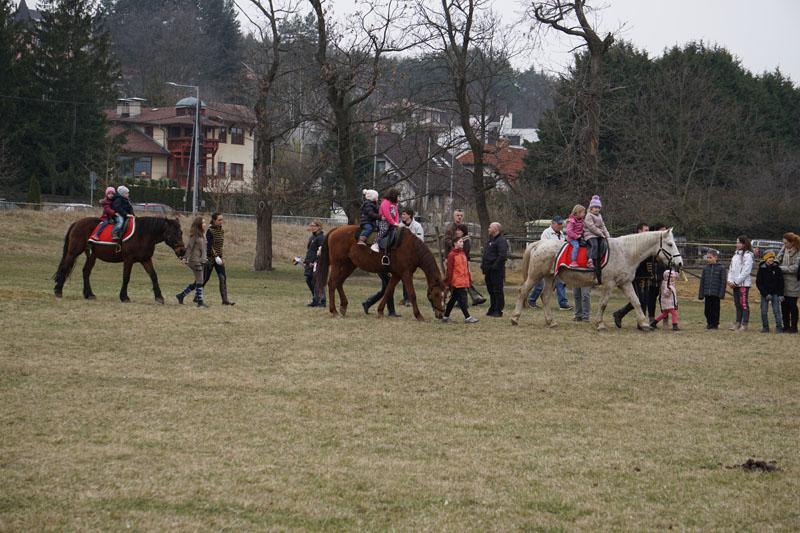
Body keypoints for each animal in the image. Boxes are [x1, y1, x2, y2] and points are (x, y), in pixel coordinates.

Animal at [53, 216, 186, 303]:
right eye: (173, 233)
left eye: (181, 232)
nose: (182, 251)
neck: (142, 234)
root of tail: (77, 223)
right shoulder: (128, 259)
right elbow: (126, 277)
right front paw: (124, 297)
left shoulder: (146, 259)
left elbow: (153, 276)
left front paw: (159, 297)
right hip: (73, 252)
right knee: (65, 267)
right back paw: (58, 290)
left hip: (92, 256)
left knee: (86, 272)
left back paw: (89, 294)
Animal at [315, 225, 446, 320]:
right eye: (436, 294)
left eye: (445, 295)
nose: (441, 313)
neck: (412, 247)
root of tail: (336, 229)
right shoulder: (406, 274)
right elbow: (412, 294)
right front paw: (418, 315)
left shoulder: (397, 274)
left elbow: (388, 291)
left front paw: (380, 311)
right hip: (337, 264)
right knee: (332, 283)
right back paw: (334, 311)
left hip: (349, 265)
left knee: (339, 282)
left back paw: (343, 306)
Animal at [510, 229, 683, 330]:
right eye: (670, 244)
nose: (680, 263)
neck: (625, 252)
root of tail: (539, 243)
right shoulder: (609, 284)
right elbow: (604, 303)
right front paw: (600, 323)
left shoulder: (625, 283)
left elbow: (636, 301)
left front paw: (644, 323)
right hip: (535, 275)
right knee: (523, 291)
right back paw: (515, 318)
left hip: (549, 277)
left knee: (545, 296)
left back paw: (551, 321)